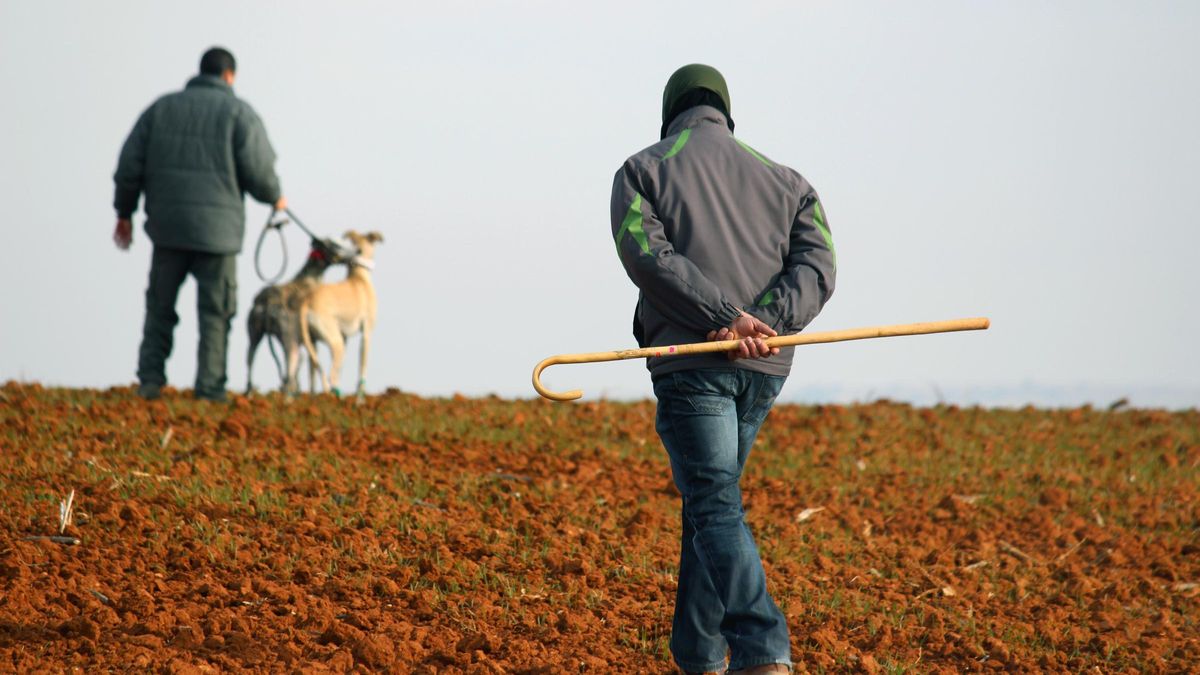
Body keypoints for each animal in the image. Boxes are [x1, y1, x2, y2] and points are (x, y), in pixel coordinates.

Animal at [297, 229, 381, 396]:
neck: (358, 276)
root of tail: (307, 302)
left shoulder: (345, 336)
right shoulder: (366, 332)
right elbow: (362, 368)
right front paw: (360, 395)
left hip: (313, 344)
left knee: (317, 373)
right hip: (336, 343)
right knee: (331, 377)